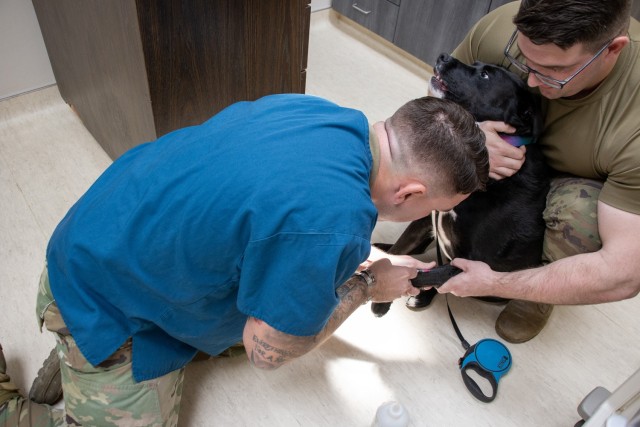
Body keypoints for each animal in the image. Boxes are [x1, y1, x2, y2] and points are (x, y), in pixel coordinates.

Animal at [376, 54, 552, 318]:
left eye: (485, 75)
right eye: (477, 64)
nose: (443, 56)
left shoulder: (474, 267)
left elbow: (420, 275)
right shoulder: (425, 217)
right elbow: (402, 249)